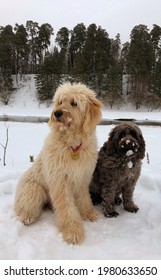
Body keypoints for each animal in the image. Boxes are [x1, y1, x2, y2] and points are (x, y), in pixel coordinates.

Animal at [14, 82, 101, 244]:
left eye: (74, 103)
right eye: (60, 101)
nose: (57, 113)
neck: (72, 146)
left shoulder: (82, 178)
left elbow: (85, 199)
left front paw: (89, 213)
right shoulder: (60, 181)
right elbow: (67, 209)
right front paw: (73, 231)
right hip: (33, 189)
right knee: (23, 207)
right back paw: (26, 216)